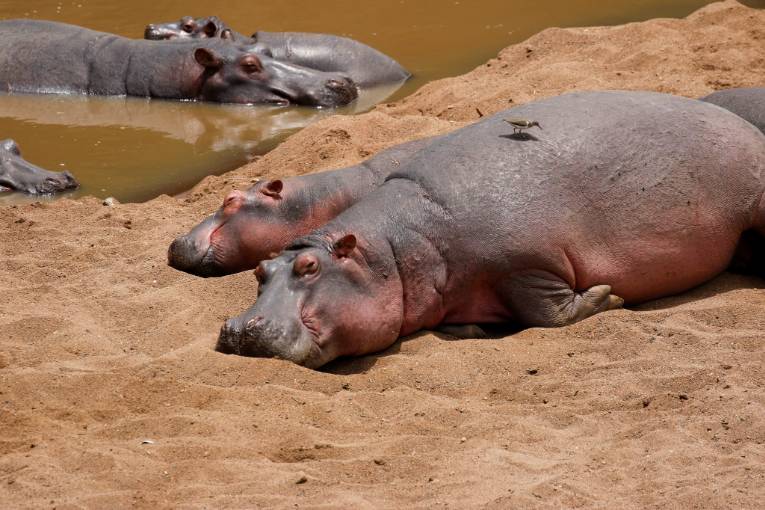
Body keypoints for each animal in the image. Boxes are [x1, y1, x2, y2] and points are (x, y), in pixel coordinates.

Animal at [213, 91, 764, 368]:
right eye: (261, 270)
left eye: (309, 267)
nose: (240, 328)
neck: (393, 251)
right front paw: (472, 328)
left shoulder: (527, 264)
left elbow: (548, 312)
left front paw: (606, 297)